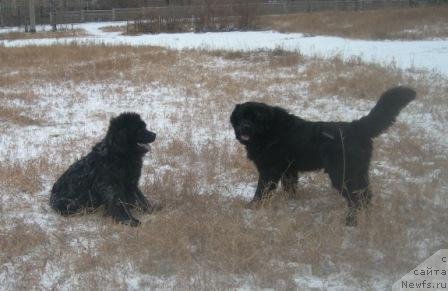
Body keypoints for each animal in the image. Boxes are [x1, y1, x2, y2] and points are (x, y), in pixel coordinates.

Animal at [231, 85, 416, 227]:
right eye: (241, 117)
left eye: (256, 118)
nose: (245, 127)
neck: (269, 131)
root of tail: (356, 127)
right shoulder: (289, 170)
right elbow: (289, 188)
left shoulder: (269, 170)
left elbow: (261, 190)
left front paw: (252, 207)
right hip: (359, 172)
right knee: (365, 196)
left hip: (342, 174)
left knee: (355, 199)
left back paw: (350, 223)